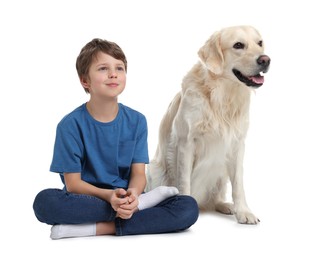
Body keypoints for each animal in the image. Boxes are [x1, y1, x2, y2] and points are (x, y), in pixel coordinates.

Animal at [146, 25, 272, 223]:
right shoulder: (186, 142)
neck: (223, 95)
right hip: (154, 170)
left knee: (215, 198)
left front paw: (244, 211)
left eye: (260, 43)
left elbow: (238, 184)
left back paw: (226, 206)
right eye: (238, 45)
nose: (265, 60)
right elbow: (184, 182)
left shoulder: (237, 144)